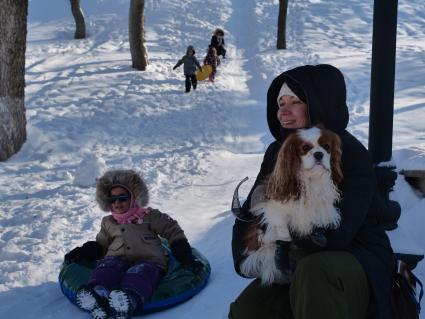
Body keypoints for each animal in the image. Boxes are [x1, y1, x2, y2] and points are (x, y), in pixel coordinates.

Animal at [240, 126, 342, 286]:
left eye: (327, 147)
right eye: (305, 148)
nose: (319, 154)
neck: (310, 180)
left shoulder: (323, 206)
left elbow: (320, 218)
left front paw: (319, 232)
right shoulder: (271, 208)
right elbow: (282, 230)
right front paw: (281, 251)